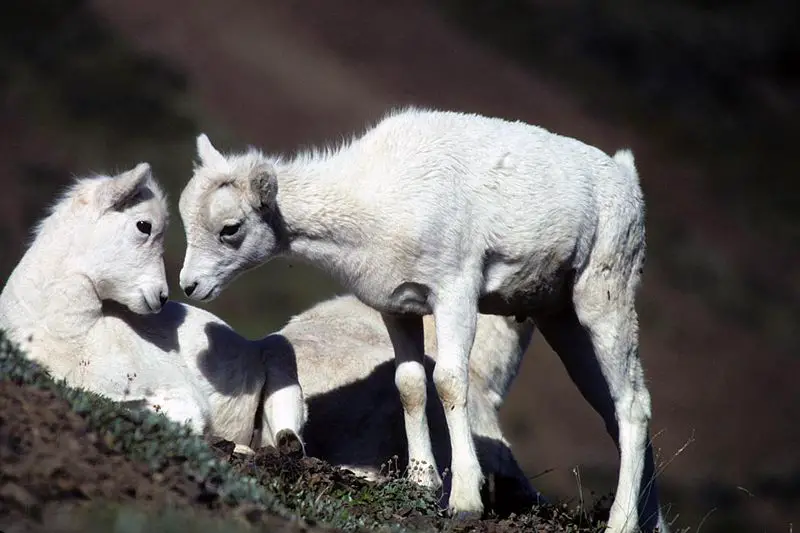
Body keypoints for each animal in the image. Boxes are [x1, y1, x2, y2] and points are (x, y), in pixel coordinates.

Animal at [178, 106, 669, 532]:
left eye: (230, 228)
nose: (189, 286)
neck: (378, 200)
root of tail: (626, 177)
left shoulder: (455, 293)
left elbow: (449, 382)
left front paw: (465, 502)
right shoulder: (399, 309)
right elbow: (410, 385)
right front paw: (422, 482)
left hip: (603, 299)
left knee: (632, 404)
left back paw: (621, 524)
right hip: (561, 320)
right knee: (613, 410)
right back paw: (651, 523)